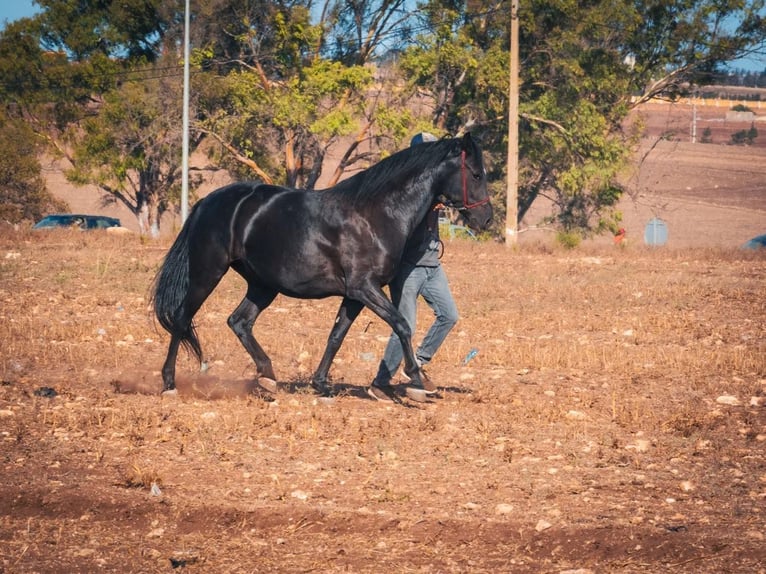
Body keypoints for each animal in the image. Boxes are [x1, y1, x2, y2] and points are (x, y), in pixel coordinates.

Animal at [153, 133, 496, 398]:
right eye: (476, 173)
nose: (487, 219)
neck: (376, 213)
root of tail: (205, 203)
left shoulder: (356, 295)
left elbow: (336, 335)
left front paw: (321, 384)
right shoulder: (365, 288)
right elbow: (402, 324)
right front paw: (416, 380)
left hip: (263, 285)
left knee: (239, 321)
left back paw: (268, 378)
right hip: (207, 273)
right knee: (182, 319)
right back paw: (169, 382)